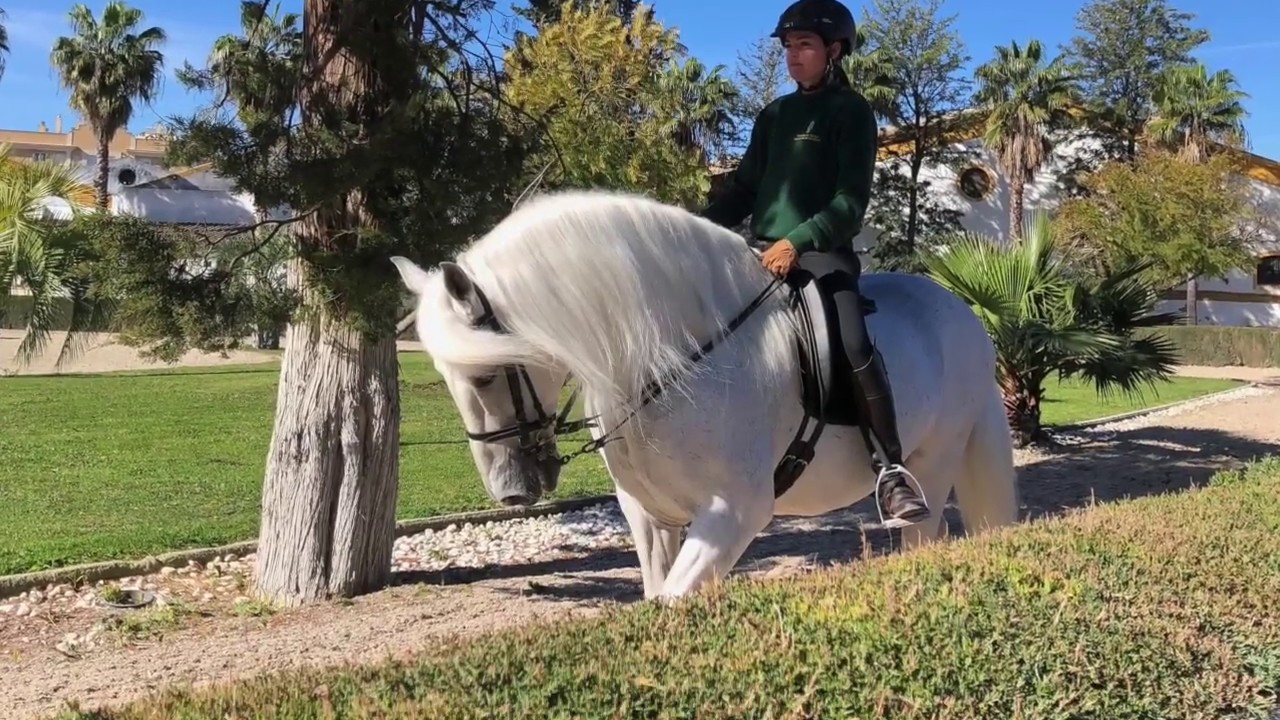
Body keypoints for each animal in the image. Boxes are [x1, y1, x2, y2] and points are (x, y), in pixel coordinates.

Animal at [391, 189, 1020, 602]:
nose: (511, 492)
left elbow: (674, 601)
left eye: (485, 375)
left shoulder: (731, 514)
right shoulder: (650, 517)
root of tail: (959, 310)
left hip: (935, 460)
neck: (672, 358)